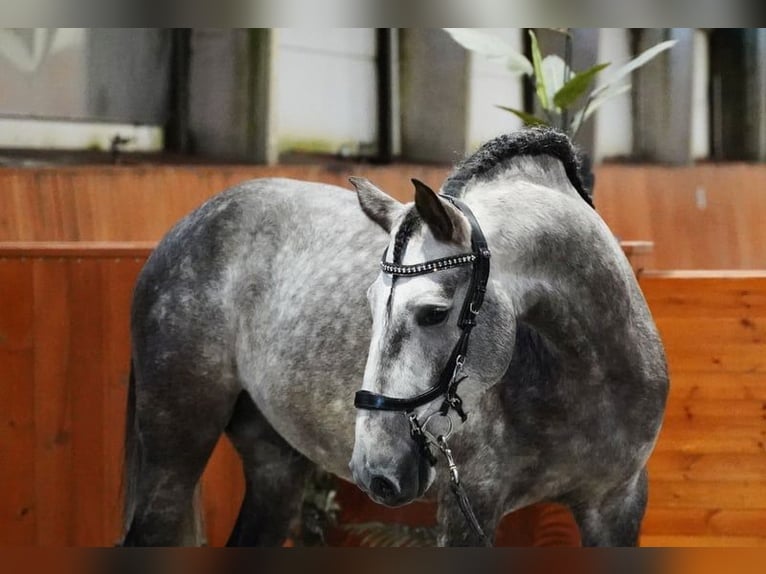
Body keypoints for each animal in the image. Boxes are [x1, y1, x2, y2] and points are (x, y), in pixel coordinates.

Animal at [123, 129, 668, 548]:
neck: (586, 376)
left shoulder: (617, 507)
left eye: (433, 313)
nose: (375, 471)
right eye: (368, 305)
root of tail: (188, 225)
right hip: (174, 451)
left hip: (275, 466)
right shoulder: (468, 508)